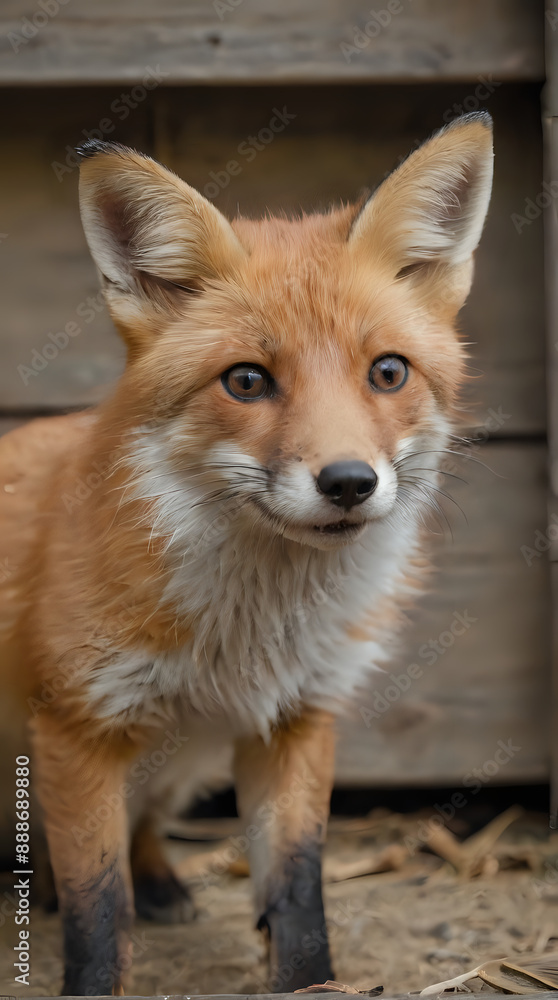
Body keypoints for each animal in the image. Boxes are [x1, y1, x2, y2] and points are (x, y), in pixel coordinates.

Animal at [0, 112, 493, 995]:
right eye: (247, 381)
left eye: (388, 372)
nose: (348, 482)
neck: (252, 632)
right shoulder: (76, 725)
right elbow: (97, 910)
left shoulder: (299, 716)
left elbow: (297, 887)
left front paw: (310, 981)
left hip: (182, 765)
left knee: (143, 830)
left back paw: (161, 882)